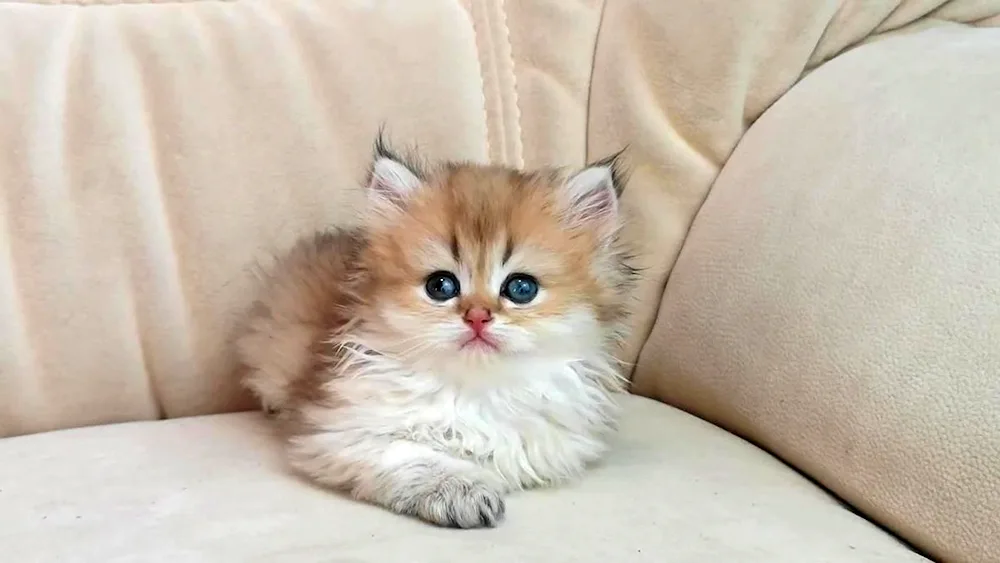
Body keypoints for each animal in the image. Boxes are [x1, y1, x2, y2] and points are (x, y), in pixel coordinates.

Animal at [238, 141, 636, 528]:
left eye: (521, 288)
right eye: (441, 286)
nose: (478, 317)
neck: (473, 390)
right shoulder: (338, 431)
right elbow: (414, 455)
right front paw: (462, 490)